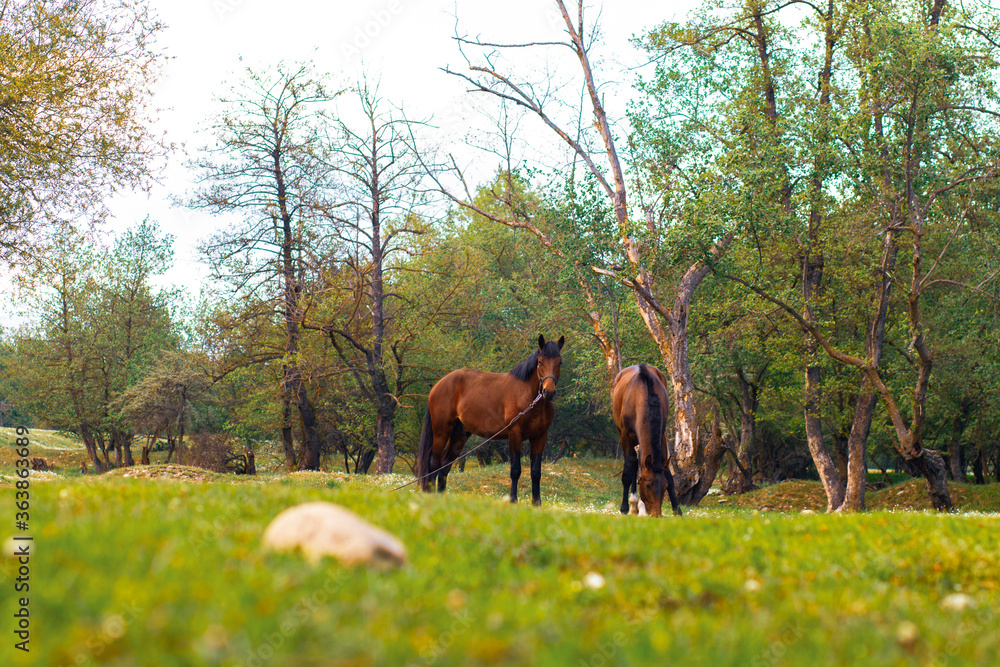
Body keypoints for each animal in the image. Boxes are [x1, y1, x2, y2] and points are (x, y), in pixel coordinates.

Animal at [417, 334, 565, 505]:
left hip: (459, 435)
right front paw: (513, 500)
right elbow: (515, 470)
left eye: (559, 362)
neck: (529, 398)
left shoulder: (540, 437)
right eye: (540, 362)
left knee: (444, 466)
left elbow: (535, 472)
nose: (548, 392)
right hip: (441, 432)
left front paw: (537, 504)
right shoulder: (515, 434)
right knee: (434, 465)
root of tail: (439, 384)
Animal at [611, 364, 682, 517]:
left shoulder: (661, 436)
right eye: (648, 485)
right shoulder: (626, 436)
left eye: (665, 486)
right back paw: (633, 505)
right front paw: (625, 508)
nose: (656, 514)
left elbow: (668, 473)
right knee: (633, 464)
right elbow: (628, 471)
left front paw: (677, 509)